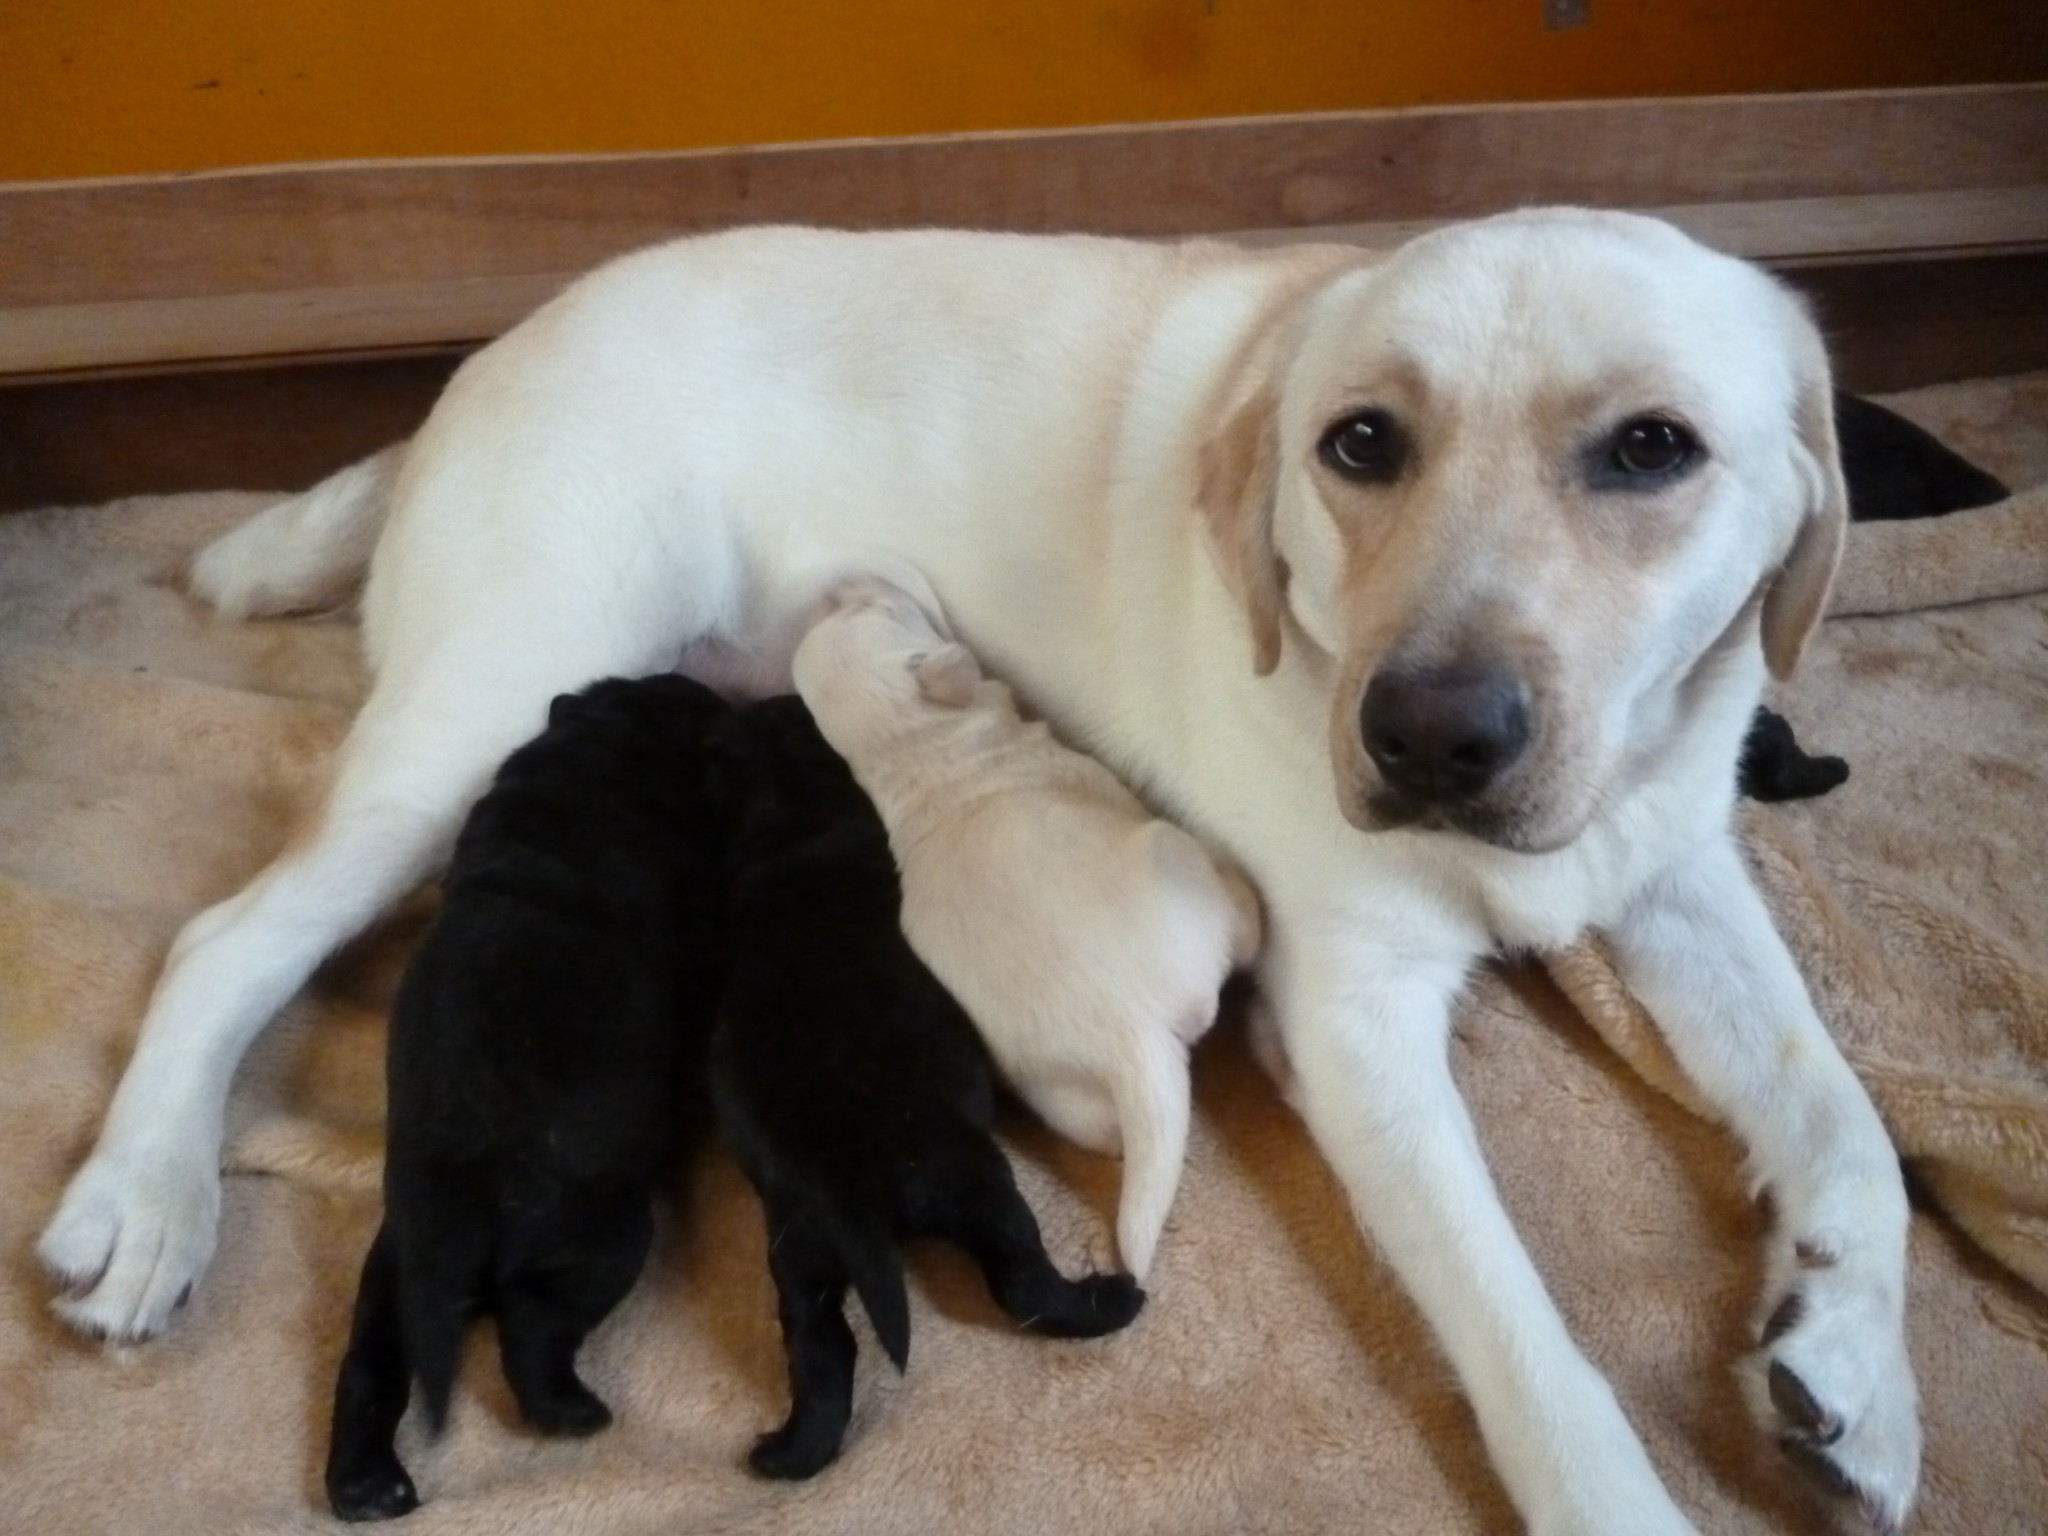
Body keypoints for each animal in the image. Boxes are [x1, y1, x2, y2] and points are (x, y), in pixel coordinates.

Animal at [323, 675, 733, 1531]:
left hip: (393, 1273)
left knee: (369, 1368)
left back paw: (365, 1485)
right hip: (600, 1244)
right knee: (533, 1329)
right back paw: (570, 1412)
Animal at [712, 696, 1146, 1482]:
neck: (784, 803)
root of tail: (847, 1180)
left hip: (798, 1250)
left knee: (821, 1348)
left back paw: (789, 1452)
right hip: (976, 1184)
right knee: (1022, 1283)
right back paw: (1110, 1300)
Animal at [790, 573, 1253, 1277]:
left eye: (861, 605)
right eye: (883, 608)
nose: (840, 582)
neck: (909, 743)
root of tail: (1130, 1033)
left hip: (1056, 1091)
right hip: (1174, 856)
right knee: (1241, 923)